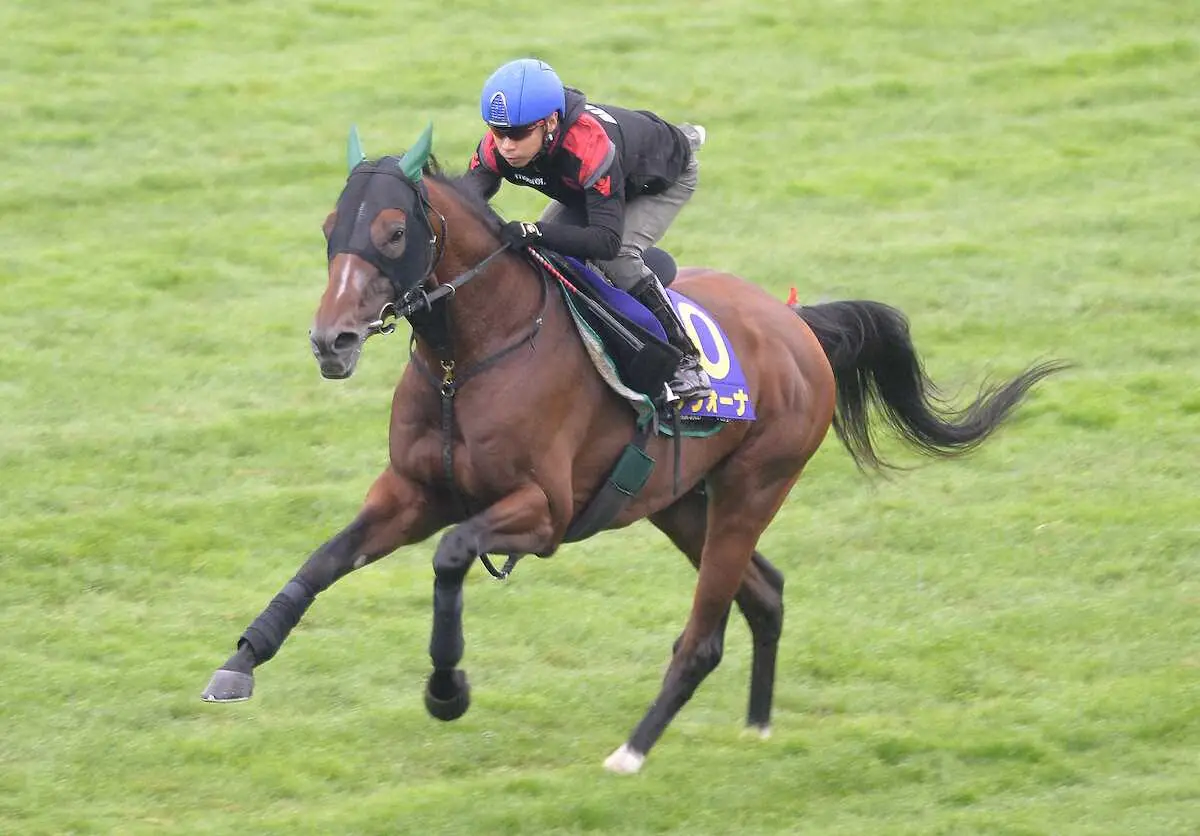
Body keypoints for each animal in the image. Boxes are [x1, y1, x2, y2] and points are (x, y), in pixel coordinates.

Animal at [201, 127, 1065, 772]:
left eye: (390, 232)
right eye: (328, 230)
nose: (331, 341)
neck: (467, 357)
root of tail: (797, 327)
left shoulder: (542, 514)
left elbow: (450, 557)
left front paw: (448, 689)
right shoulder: (411, 493)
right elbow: (321, 562)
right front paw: (239, 663)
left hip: (753, 488)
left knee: (705, 633)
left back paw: (633, 750)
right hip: (678, 503)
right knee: (765, 592)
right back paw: (756, 726)